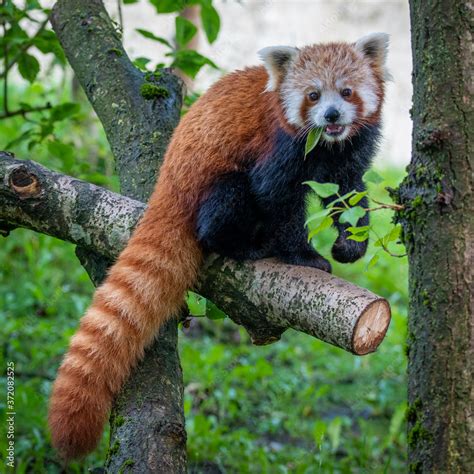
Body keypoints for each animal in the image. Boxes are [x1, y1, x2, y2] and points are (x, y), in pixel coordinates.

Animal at [47, 32, 388, 460]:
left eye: (346, 92)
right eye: (313, 95)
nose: (331, 116)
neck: (326, 144)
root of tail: (167, 183)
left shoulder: (349, 152)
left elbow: (349, 194)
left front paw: (350, 246)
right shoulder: (279, 146)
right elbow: (277, 197)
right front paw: (305, 256)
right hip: (212, 186)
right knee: (228, 202)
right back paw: (246, 246)